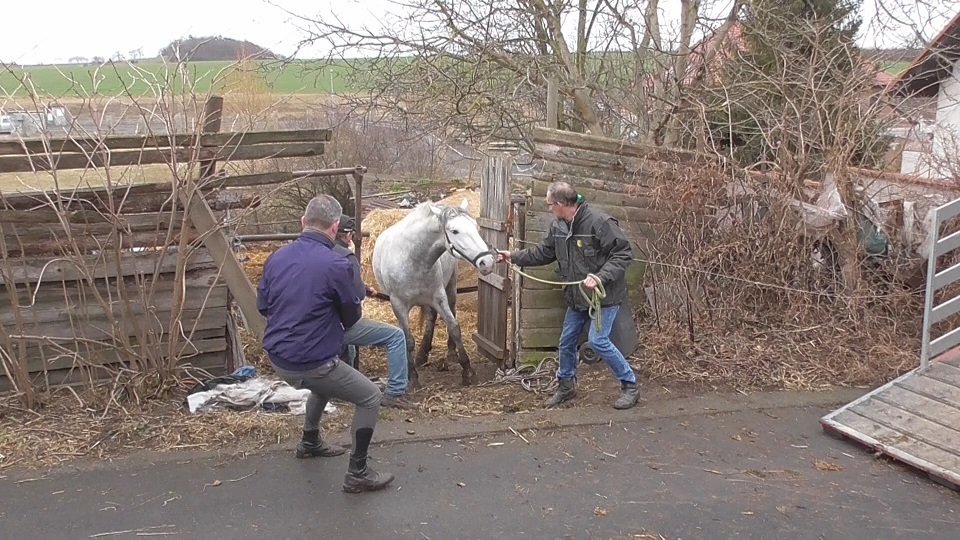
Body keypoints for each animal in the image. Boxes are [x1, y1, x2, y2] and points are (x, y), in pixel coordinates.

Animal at [374, 200, 496, 386]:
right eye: (454, 231)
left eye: (475, 227)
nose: (487, 262)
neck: (412, 258)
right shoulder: (398, 305)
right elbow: (408, 340)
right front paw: (413, 377)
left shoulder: (438, 298)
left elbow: (454, 327)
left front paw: (467, 371)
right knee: (430, 320)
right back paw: (422, 355)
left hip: (449, 289)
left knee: (442, 315)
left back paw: (448, 353)